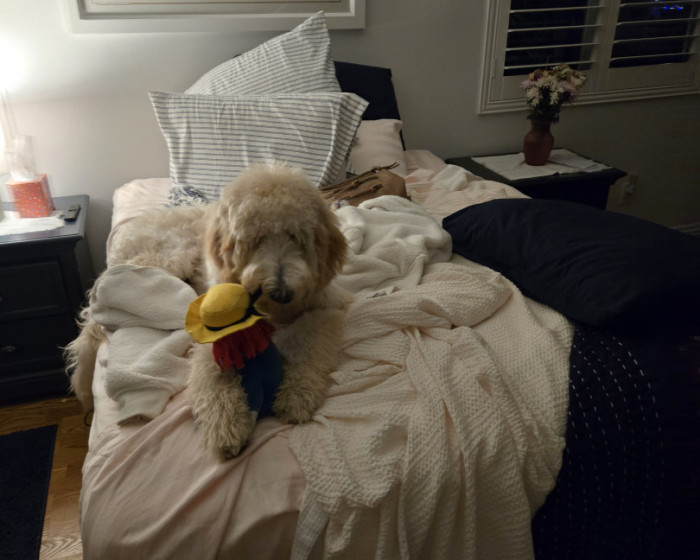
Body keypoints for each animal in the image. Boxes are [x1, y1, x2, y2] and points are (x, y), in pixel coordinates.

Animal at [188, 162, 350, 460]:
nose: (281, 292)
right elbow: (213, 374)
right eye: (255, 238)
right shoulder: (210, 337)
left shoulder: (325, 310)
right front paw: (225, 425)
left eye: (296, 236)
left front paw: (296, 394)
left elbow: (309, 341)